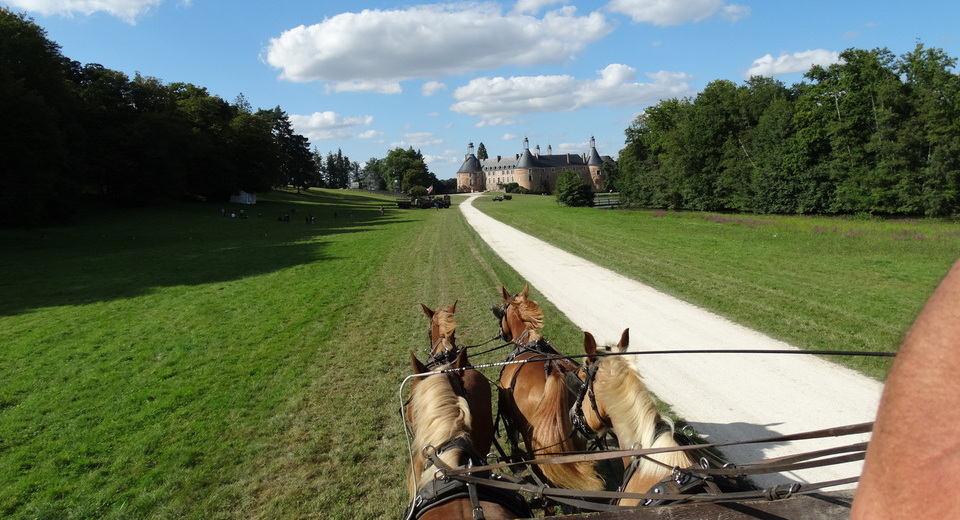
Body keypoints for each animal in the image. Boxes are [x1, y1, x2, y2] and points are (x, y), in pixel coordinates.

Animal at [492, 286, 604, 494]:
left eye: (501, 312)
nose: (501, 333)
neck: (528, 342)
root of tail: (556, 375)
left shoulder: (508, 414)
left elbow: (512, 436)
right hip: (575, 441)